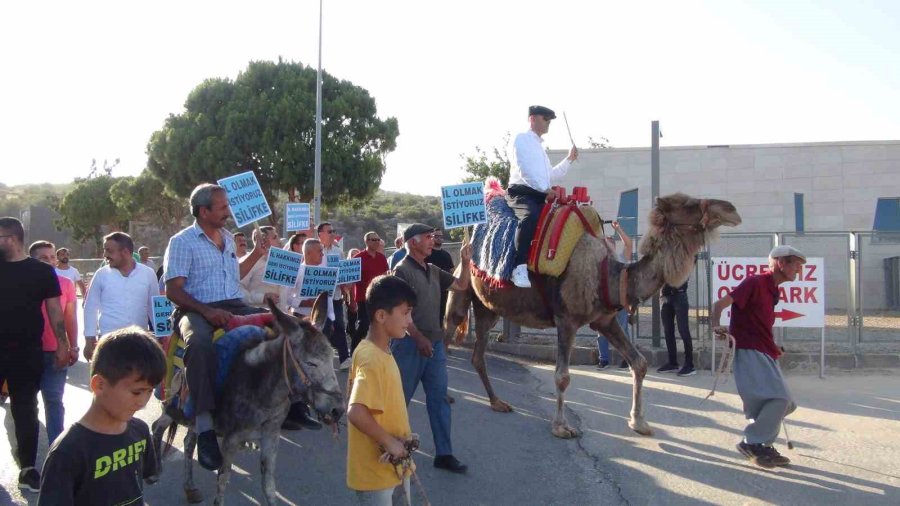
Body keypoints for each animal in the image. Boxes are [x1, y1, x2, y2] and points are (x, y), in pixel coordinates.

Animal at [446, 192, 740, 436]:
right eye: (688, 204)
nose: (732, 210)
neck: (608, 276)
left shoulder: (605, 320)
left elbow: (640, 363)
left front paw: (639, 422)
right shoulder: (566, 320)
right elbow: (562, 376)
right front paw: (562, 427)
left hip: (487, 309)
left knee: (477, 355)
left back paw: (497, 402)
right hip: (460, 293)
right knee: (446, 337)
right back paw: (448, 397)